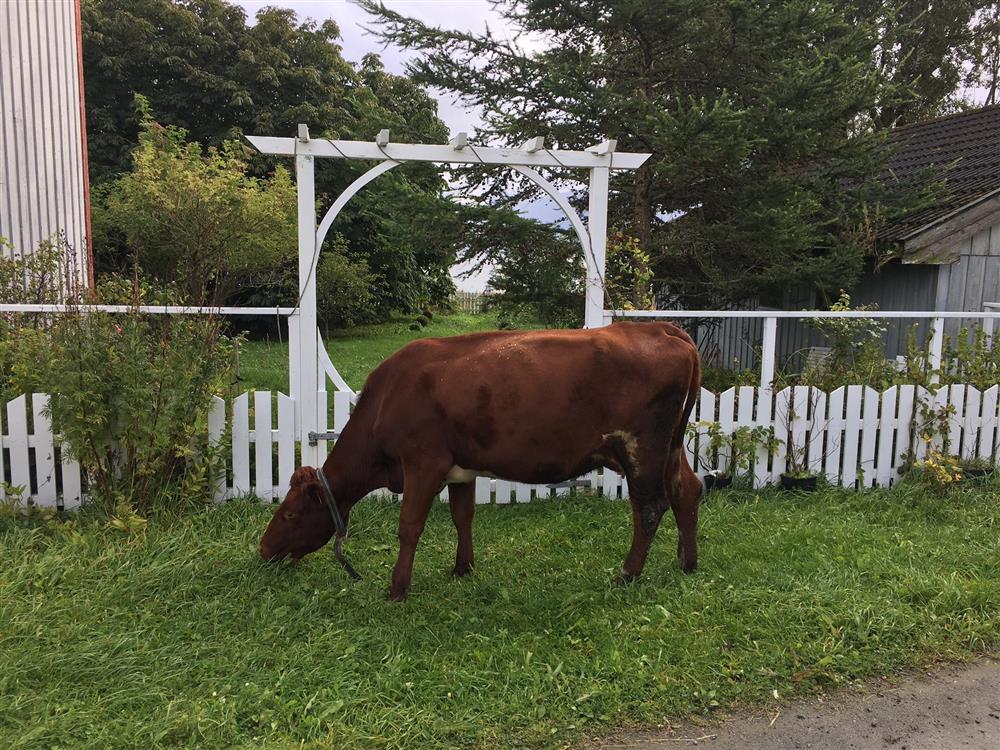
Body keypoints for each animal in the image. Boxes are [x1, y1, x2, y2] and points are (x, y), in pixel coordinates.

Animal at [258, 320, 704, 604]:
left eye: (290, 514)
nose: (262, 550)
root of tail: (660, 327)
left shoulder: (422, 463)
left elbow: (409, 527)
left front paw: (397, 589)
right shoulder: (461, 469)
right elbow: (463, 516)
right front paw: (463, 568)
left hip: (641, 448)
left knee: (650, 507)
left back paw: (627, 574)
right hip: (669, 448)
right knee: (688, 490)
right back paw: (687, 562)